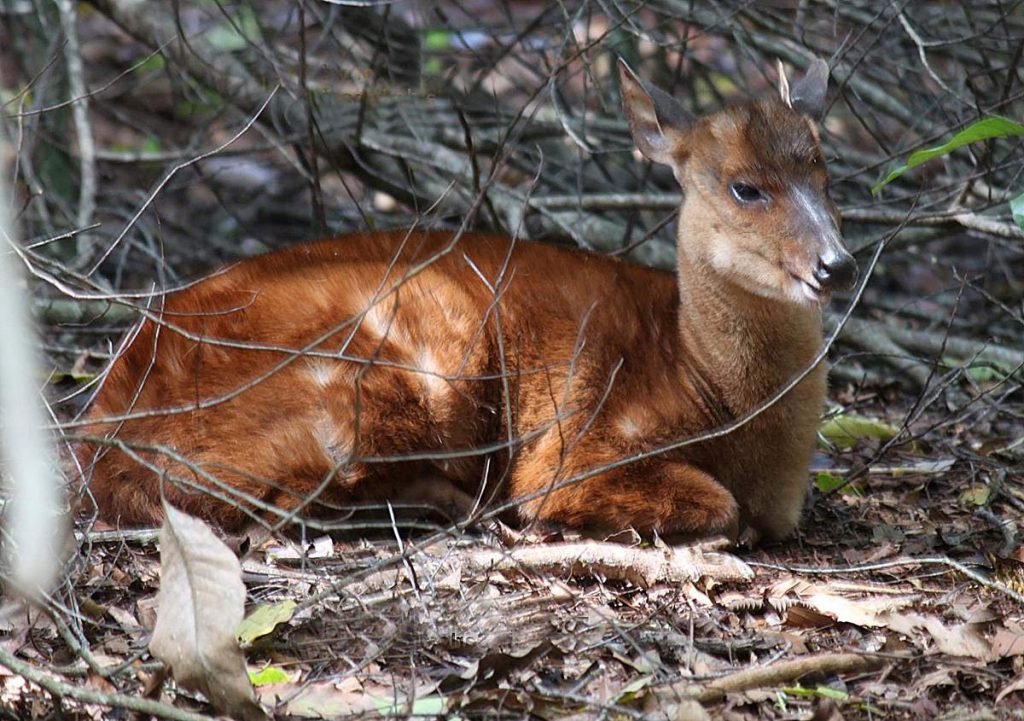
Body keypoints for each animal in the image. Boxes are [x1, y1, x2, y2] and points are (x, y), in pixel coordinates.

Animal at [74, 60, 856, 540]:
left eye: (827, 174)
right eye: (744, 187)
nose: (836, 265)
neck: (703, 380)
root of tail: (102, 447)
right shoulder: (580, 446)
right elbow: (712, 505)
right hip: (385, 377)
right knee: (289, 504)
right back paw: (463, 505)